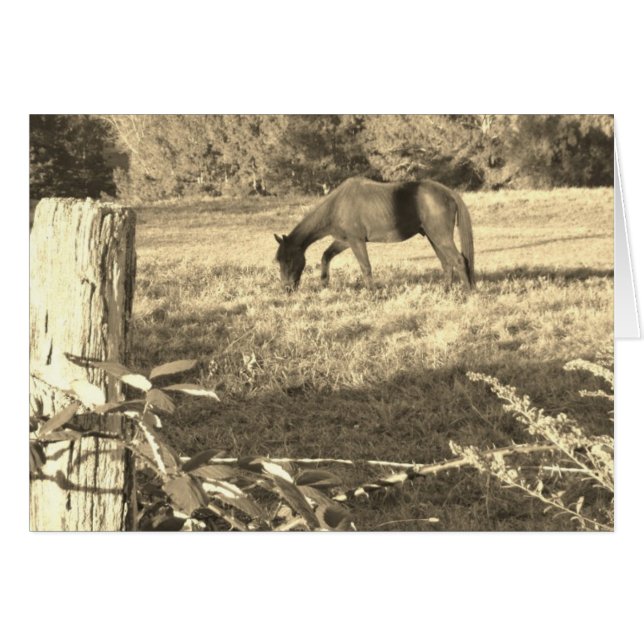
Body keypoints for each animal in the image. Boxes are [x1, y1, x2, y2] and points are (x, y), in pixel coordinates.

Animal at [274, 176, 475, 292]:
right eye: (279, 260)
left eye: (289, 259)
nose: (286, 288)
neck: (337, 205)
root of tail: (448, 193)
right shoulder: (345, 241)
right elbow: (326, 256)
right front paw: (324, 284)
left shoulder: (356, 241)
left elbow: (365, 267)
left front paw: (372, 294)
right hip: (434, 237)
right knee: (447, 263)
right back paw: (446, 291)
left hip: (441, 237)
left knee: (458, 260)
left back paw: (467, 293)